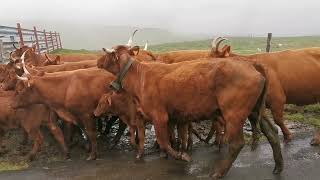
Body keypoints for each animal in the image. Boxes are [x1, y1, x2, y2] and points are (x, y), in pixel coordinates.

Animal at [97, 45, 282, 179]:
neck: (139, 77)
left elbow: (164, 141)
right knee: (272, 133)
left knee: (237, 143)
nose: (98, 61)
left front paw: (182, 156)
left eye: (107, 54)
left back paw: (218, 172)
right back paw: (278, 166)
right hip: (254, 110)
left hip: (234, 114)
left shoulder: (160, 116)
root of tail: (251, 64)